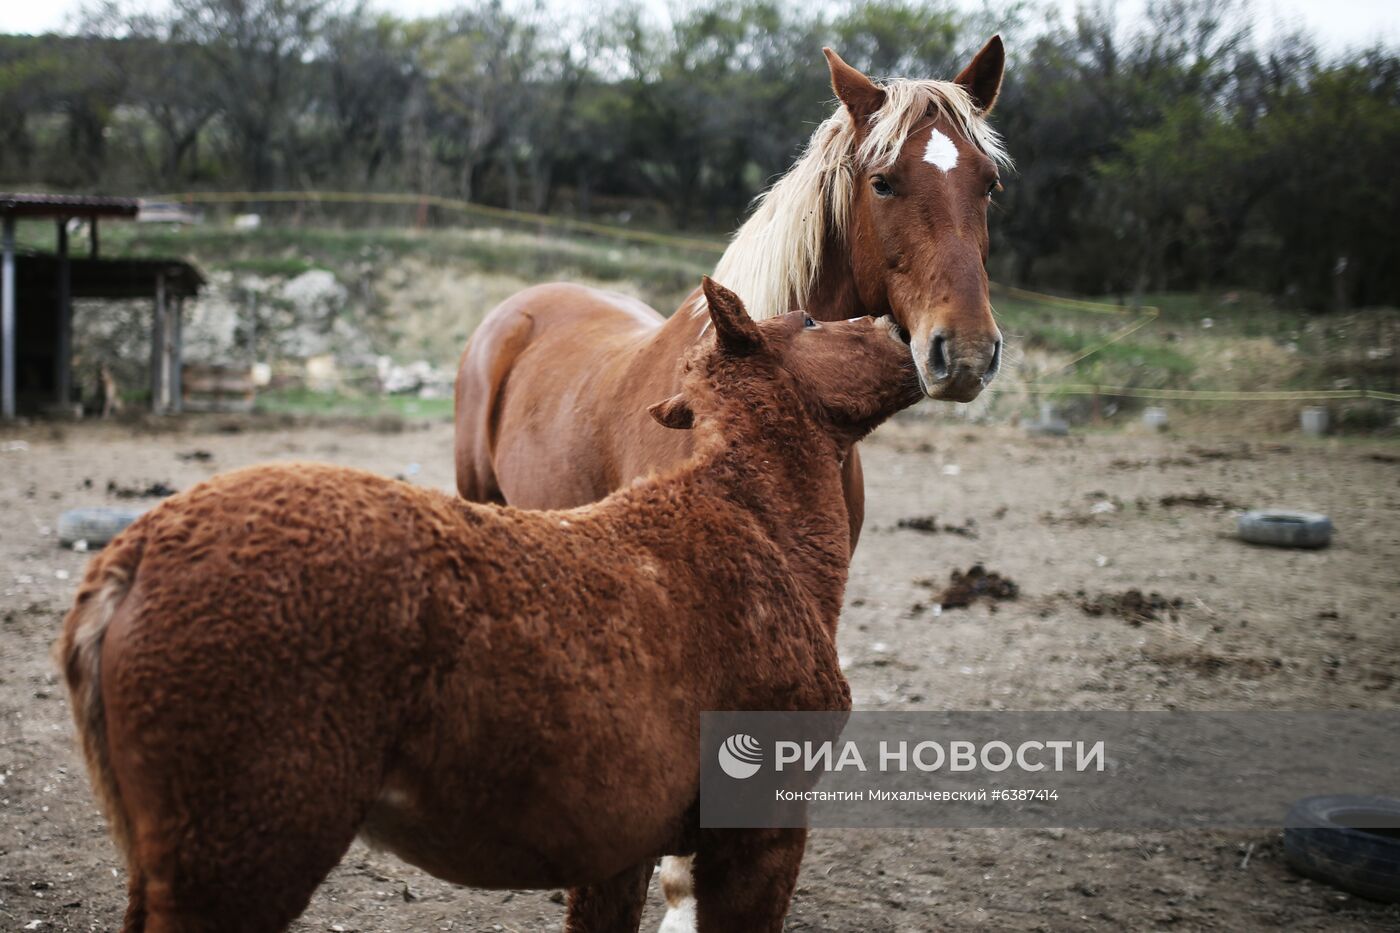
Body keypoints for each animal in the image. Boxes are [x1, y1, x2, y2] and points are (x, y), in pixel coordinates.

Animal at [58, 278, 923, 933]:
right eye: (809, 320)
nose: (906, 332)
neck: (750, 524)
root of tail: (133, 557)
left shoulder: (620, 850)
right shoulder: (759, 833)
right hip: (233, 861)